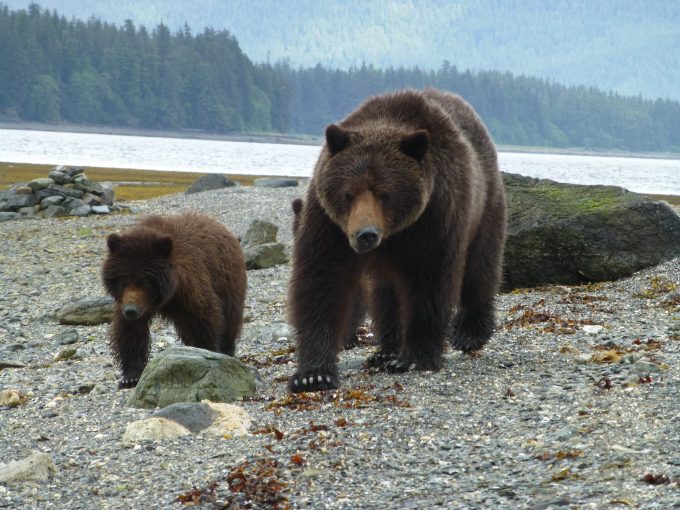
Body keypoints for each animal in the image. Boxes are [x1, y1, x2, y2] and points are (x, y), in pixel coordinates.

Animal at [102, 211, 246, 386]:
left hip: (226, 281)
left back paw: (227, 349)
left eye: (145, 281)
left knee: (230, 317)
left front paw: (208, 351)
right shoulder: (128, 302)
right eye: (124, 280)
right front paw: (131, 376)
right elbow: (130, 332)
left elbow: (204, 317)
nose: (131, 310)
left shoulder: (191, 287)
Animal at [286, 87, 504, 392]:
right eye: (349, 193)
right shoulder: (329, 225)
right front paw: (313, 374)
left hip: (484, 205)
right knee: (385, 295)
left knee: (480, 266)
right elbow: (320, 282)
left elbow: (430, 284)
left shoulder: (435, 219)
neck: (394, 233)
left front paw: (415, 358)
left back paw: (469, 333)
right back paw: (386, 350)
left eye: (384, 194)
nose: (366, 234)